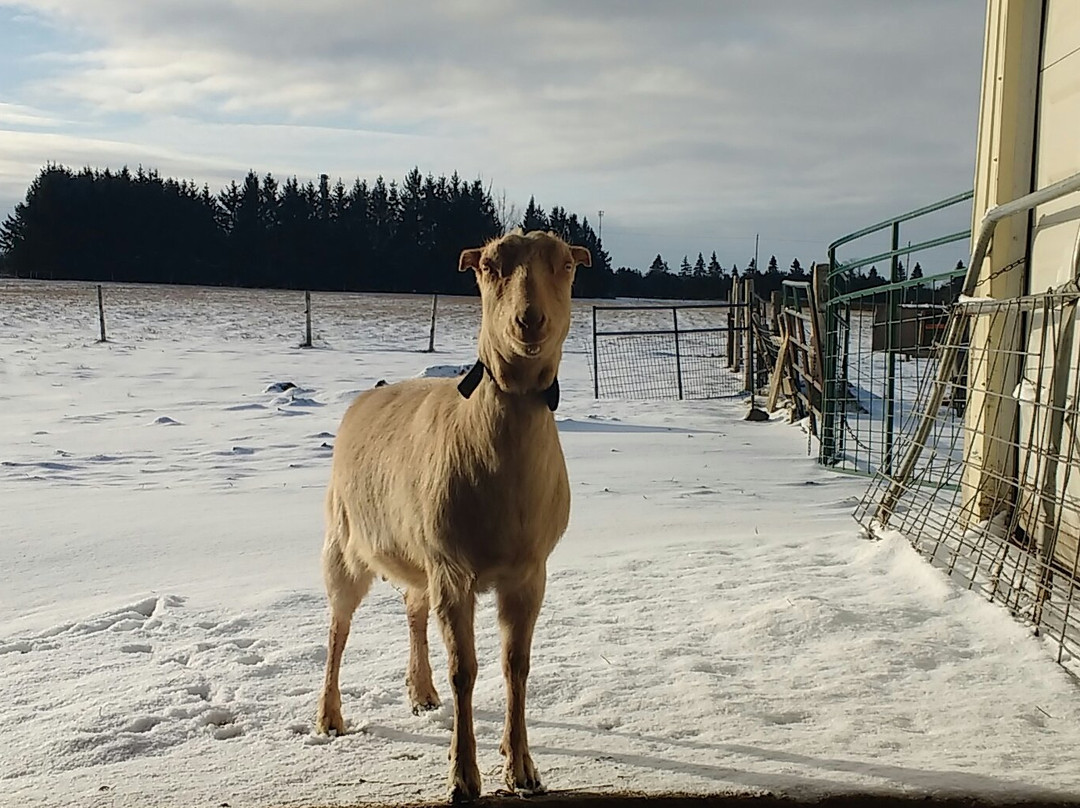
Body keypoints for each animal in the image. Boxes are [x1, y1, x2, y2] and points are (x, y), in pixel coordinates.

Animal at [316, 229, 591, 802]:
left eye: (565, 265)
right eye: (488, 267)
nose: (529, 321)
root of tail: (367, 395)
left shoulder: (528, 572)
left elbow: (516, 667)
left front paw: (522, 768)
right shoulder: (453, 568)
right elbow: (465, 670)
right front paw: (464, 776)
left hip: (416, 556)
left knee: (413, 610)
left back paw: (421, 692)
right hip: (345, 544)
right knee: (337, 628)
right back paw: (329, 718)